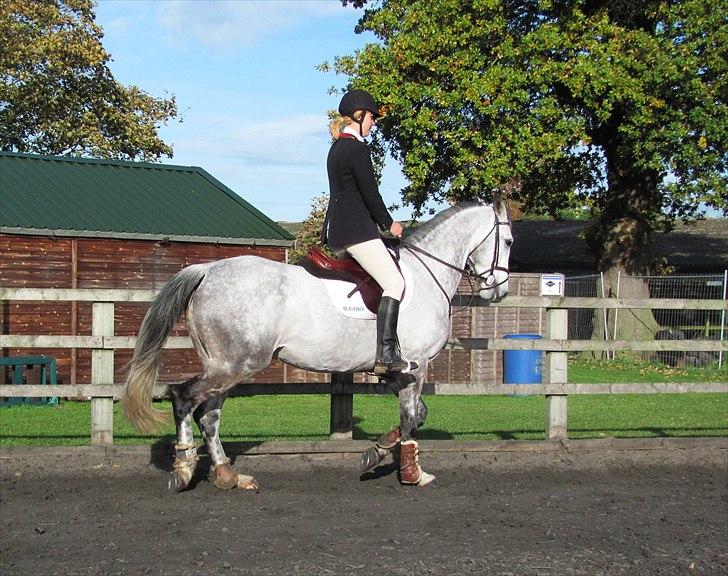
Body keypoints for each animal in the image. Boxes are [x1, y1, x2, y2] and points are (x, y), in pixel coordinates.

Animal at [122, 200, 512, 492]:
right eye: (508, 242)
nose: (500, 291)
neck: (425, 273)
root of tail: (207, 270)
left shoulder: (402, 372)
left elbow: (416, 414)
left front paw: (377, 453)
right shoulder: (417, 364)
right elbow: (412, 416)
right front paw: (412, 474)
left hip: (226, 366)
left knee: (209, 414)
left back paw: (228, 475)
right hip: (235, 364)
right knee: (184, 398)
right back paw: (185, 468)